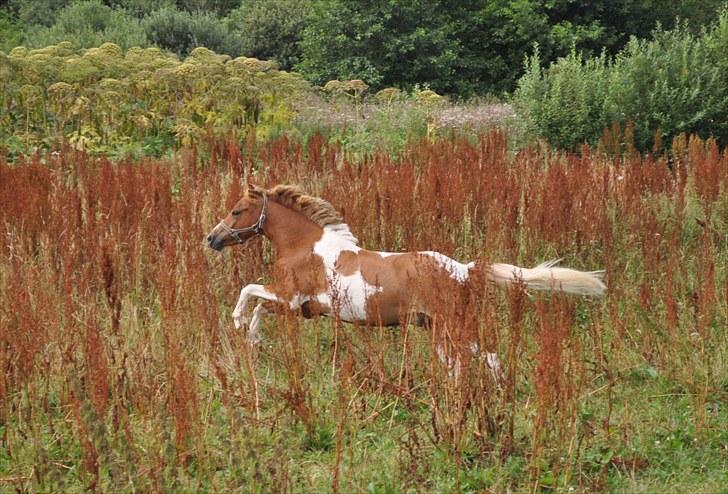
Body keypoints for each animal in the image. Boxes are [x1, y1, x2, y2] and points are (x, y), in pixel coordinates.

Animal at [208, 183, 604, 372]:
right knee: (478, 360)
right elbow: (260, 308)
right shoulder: (299, 308)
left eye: (237, 210)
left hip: (452, 326)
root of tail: (464, 269)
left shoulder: (289, 297)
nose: (212, 238)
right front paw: (253, 339)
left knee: (476, 360)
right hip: (440, 328)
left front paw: (238, 322)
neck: (305, 246)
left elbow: (248, 292)